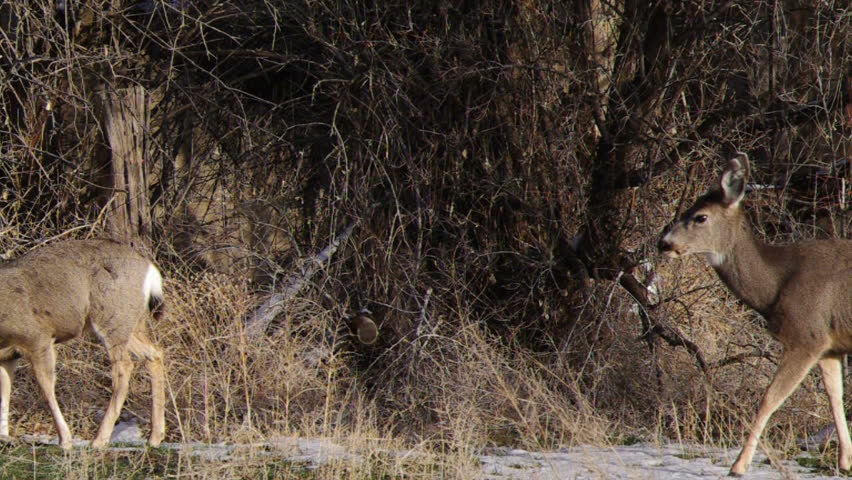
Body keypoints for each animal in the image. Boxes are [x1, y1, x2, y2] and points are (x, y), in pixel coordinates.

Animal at [0, 239, 166, 449]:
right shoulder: (7, 355)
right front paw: (3, 437)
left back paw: (99, 440)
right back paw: (155, 437)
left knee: (124, 367)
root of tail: (150, 270)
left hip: (111, 317)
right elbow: (4, 392)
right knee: (154, 354)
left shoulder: (38, 338)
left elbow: (46, 388)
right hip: (131, 323)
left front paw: (65, 439)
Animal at [658, 153, 852, 476]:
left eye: (700, 217)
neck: (775, 284)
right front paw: (846, 461)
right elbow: (835, 397)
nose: (664, 243)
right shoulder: (829, 346)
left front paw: (738, 465)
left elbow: (768, 399)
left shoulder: (806, 336)